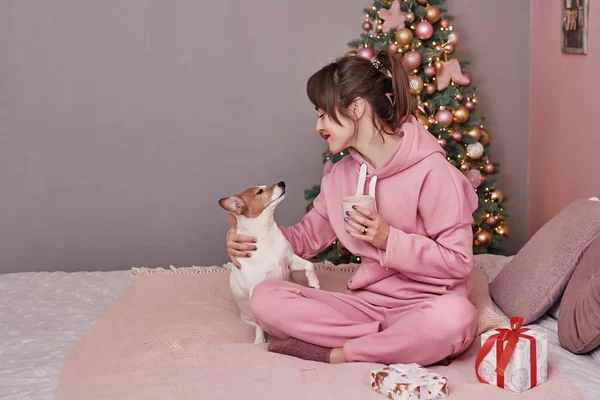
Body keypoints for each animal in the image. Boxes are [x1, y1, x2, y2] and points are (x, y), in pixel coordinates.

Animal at [216, 181, 318, 344]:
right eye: (259, 192)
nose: (282, 182)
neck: (266, 234)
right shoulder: (256, 289)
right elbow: (259, 324)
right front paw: (259, 341)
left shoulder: (290, 262)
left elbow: (310, 264)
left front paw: (314, 282)